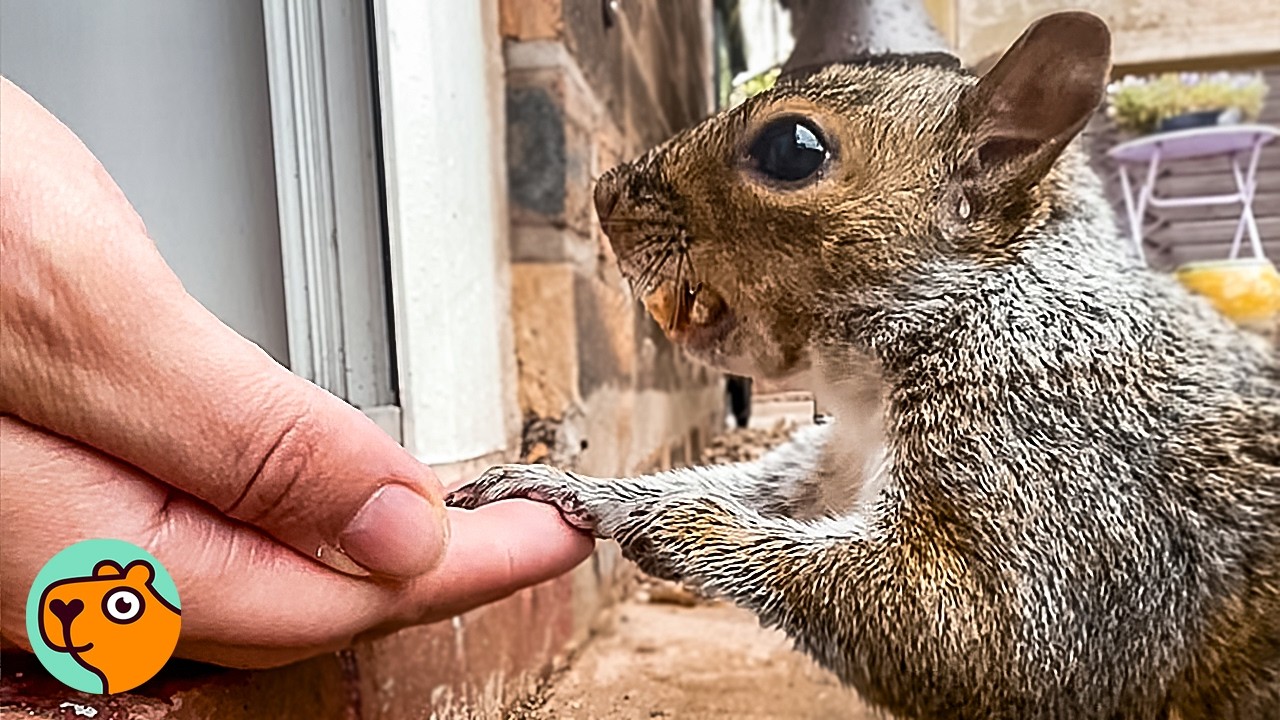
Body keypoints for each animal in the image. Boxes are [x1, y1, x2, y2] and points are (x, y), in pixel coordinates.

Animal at [448, 11, 1280, 719]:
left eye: (793, 149)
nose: (602, 194)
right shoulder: (836, 457)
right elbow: (768, 487)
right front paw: (580, 485)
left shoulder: (1059, 458)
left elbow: (991, 639)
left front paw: (665, 521)